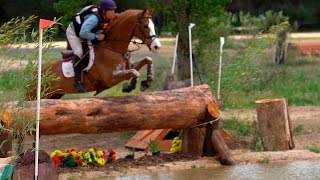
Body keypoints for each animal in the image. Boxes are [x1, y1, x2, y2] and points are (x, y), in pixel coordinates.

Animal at [25, 8, 161, 100]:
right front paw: (130, 86)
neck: (113, 48)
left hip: (54, 95)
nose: (156, 46)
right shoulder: (110, 78)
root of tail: (33, 72)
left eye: (153, 25)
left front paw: (146, 82)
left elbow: (147, 60)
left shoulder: (127, 67)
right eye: (145, 26)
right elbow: (135, 72)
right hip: (34, 95)